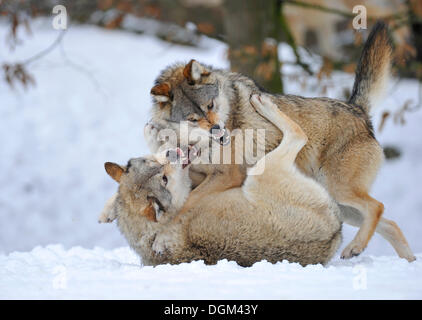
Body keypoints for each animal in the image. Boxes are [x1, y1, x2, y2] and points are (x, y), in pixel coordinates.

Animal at [100, 94, 342, 266]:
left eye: (156, 168)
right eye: (165, 180)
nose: (173, 154)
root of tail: (334, 233)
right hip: (258, 174)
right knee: (299, 135)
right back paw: (264, 104)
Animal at [146, 21, 416, 262]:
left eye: (210, 106)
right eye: (193, 118)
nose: (220, 133)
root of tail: (357, 109)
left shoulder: (227, 175)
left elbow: (185, 204)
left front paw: (161, 237)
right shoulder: (198, 174)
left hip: (339, 190)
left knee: (378, 206)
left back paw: (356, 247)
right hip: (341, 205)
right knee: (390, 223)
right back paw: (403, 260)